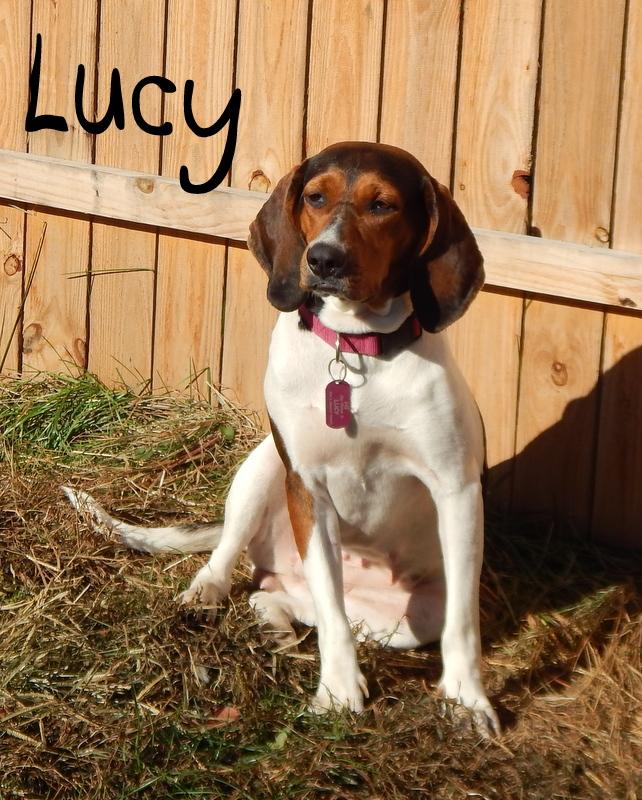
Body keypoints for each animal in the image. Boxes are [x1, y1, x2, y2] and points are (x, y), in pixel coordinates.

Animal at [65, 142, 498, 732]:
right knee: (239, 563)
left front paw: (466, 700)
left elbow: (462, 624)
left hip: (410, 617)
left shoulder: (456, 491)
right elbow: (332, 616)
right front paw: (338, 692)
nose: (323, 259)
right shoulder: (306, 487)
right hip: (263, 465)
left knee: (283, 598)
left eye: (382, 205)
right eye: (315, 197)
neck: (355, 349)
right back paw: (208, 595)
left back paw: (274, 626)